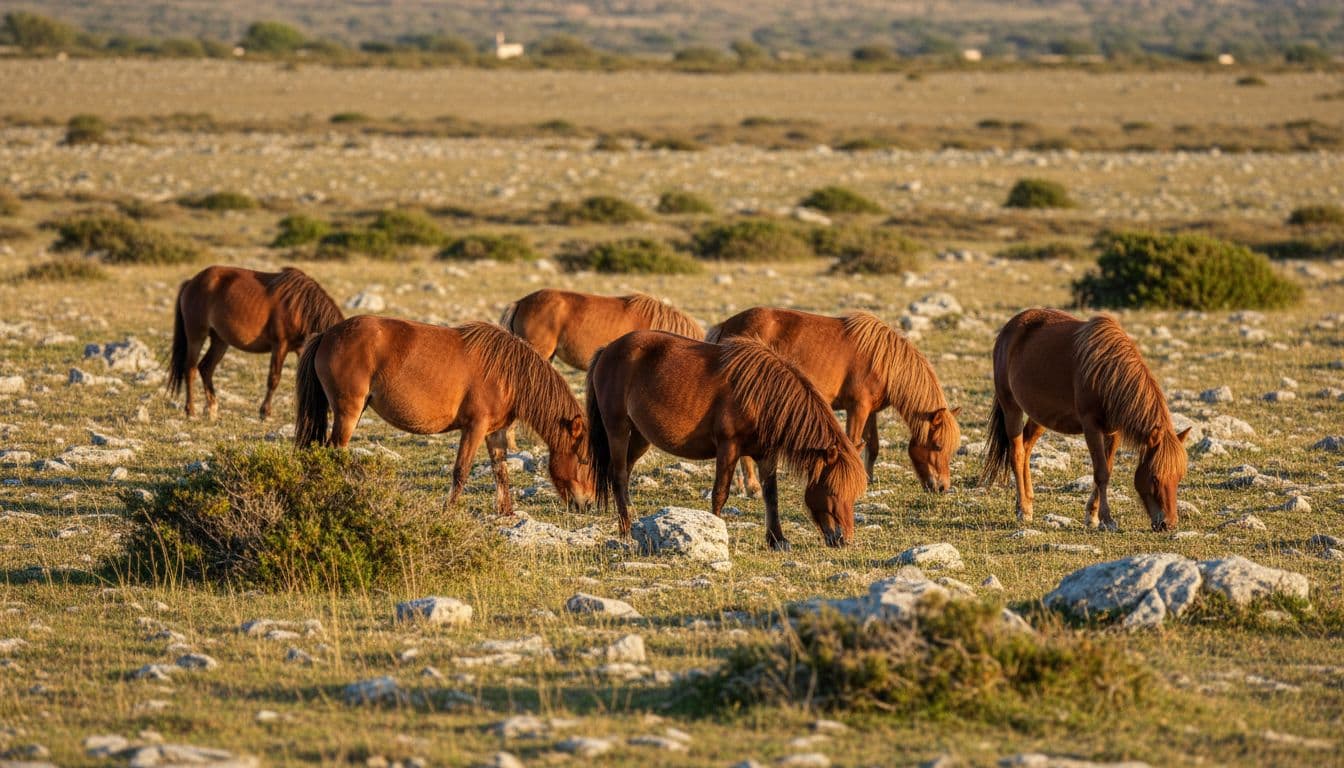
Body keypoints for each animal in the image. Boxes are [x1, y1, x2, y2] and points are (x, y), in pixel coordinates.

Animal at [168, 266, 343, 420]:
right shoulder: (280, 346)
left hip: (220, 340)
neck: (299, 307)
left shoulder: (301, 349)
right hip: (196, 335)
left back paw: (211, 408)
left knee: (206, 367)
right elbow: (274, 378)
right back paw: (191, 411)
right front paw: (265, 412)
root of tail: (191, 282)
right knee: (190, 369)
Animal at [294, 317, 594, 516]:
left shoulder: (494, 433)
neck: (508, 373)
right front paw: (448, 510)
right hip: (348, 412)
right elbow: (461, 471)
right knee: (335, 452)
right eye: (584, 460)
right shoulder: (474, 428)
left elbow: (501, 471)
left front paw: (506, 512)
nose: (588, 503)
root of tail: (327, 335)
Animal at [585, 331, 867, 550]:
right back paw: (625, 530)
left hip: (640, 437)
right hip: (618, 429)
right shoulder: (728, 448)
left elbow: (771, 495)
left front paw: (777, 540)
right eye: (832, 490)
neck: (762, 397)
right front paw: (715, 531)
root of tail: (608, 349)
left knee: (623, 474)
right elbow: (720, 494)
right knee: (619, 476)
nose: (844, 540)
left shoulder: (766, 455)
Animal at [708, 308, 961, 495]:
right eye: (938, 446)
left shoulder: (871, 411)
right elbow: (855, 441)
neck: (883, 360)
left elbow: (873, 445)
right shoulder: (857, 408)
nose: (942, 487)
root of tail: (726, 325)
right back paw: (752, 487)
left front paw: (869, 478)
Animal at [980, 308, 1190, 531]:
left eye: (1178, 477)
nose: (1168, 524)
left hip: (1040, 417)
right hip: (1011, 406)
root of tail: (1010, 327)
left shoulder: (1114, 430)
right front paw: (1106, 519)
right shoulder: (1091, 427)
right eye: (1155, 477)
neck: (1107, 373)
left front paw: (1093, 515)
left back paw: (1026, 501)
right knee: (1017, 454)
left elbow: (1107, 469)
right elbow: (1101, 473)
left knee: (1026, 447)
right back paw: (1024, 511)